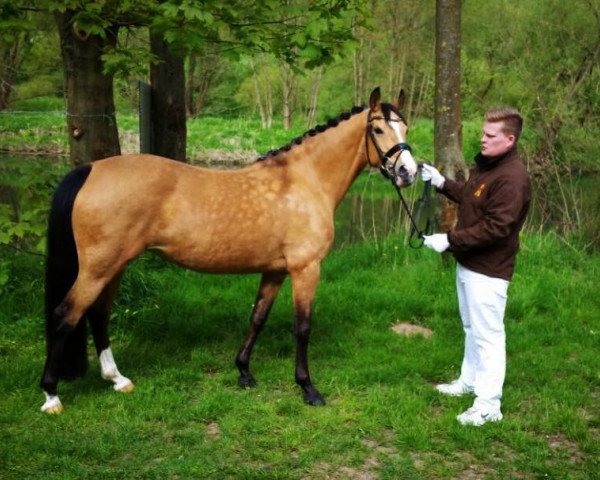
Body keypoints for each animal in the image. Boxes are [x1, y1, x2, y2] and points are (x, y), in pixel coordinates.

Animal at [41, 86, 418, 412]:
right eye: (378, 129)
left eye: (405, 126)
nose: (408, 172)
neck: (304, 181)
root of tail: (90, 170)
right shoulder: (305, 269)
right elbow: (302, 327)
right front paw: (308, 388)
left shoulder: (275, 269)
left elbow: (258, 317)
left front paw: (244, 372)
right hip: (98, 268)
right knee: (65, 315)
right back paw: (51, 395)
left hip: (115, 266)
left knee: (97, 315)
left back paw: (117, 379)